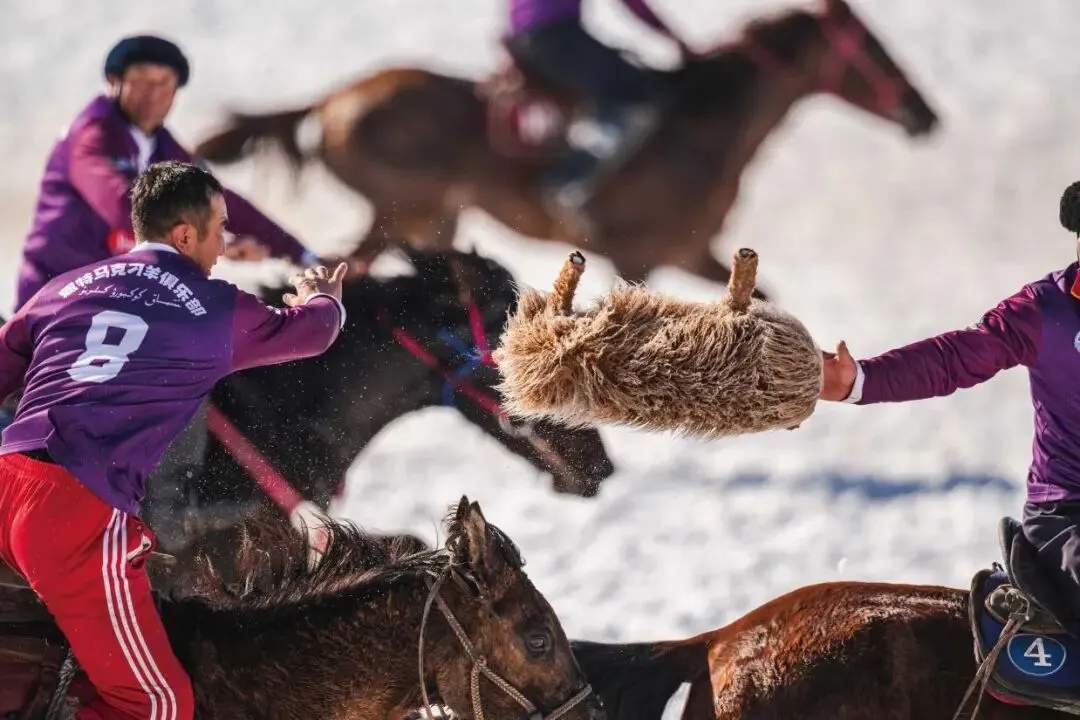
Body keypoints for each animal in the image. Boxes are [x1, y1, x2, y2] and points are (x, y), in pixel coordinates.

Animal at [192, 0, 939, 299]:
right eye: (871, 48)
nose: (923, 113)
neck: (702, 130)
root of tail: (331, 101)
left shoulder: (690, 253)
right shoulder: (639, 257)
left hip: (432, 220)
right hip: (403, 209)